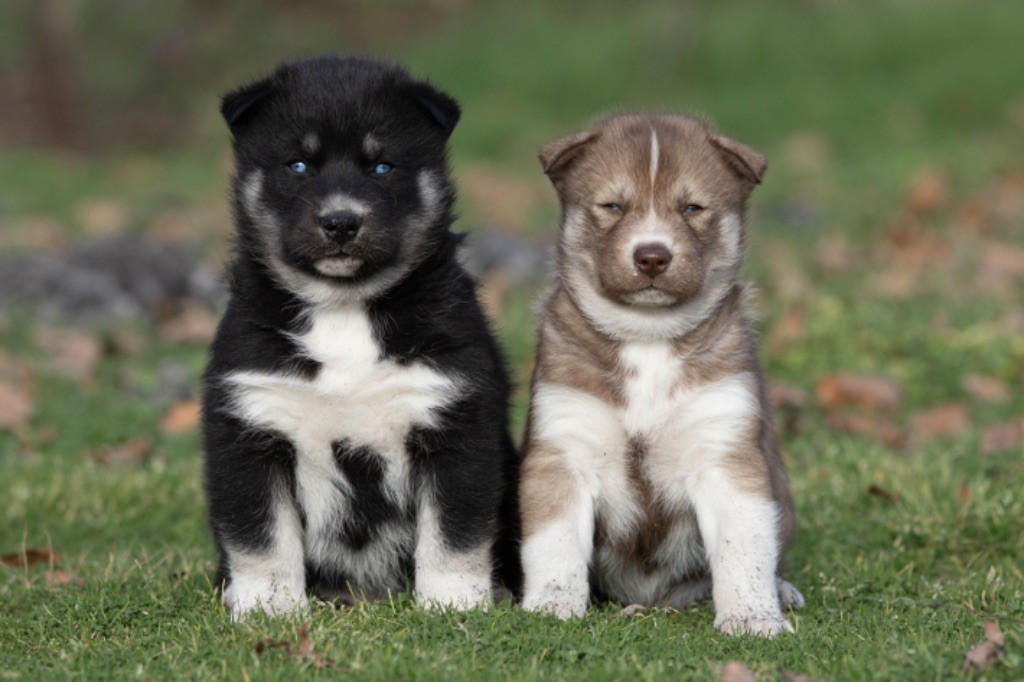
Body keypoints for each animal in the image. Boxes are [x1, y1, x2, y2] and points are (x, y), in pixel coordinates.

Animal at [202, 57, 516, 622]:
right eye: (298, 165)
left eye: (382, 167)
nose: (341, 222)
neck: (344, 308)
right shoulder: (250, 427)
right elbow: (261, 540)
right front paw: (267, 608)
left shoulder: (454, 423)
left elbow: (454, 534)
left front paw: (453, 604)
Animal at [524, 114, 802, 634]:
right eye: (613, 205)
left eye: (692, 207)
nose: (652, 255)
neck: (648, 339)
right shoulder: (564, 449)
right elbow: (553, 546)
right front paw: (551, 609)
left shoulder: (724, 448)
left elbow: (745, 549)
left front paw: (752, 619)